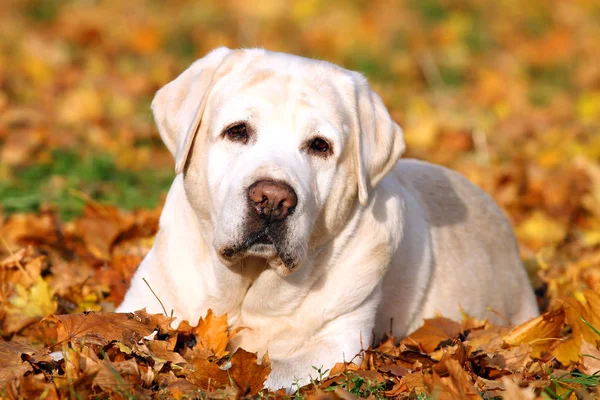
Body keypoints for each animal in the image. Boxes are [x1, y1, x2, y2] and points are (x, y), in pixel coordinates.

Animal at [115, 47, 536, 390]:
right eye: (237, 131)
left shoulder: (340, 341)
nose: (272, 199)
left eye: (320, 146)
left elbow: (275, 368)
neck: (248, 290)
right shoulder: (145, 300)